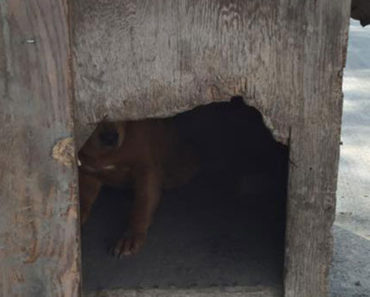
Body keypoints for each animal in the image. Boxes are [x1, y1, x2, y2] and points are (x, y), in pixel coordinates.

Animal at [78, 118, 198, 256]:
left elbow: (142, 204)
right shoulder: (88, 172)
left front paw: (130, 237)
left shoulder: (147, 170)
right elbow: (82, 197)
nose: (110, 138)